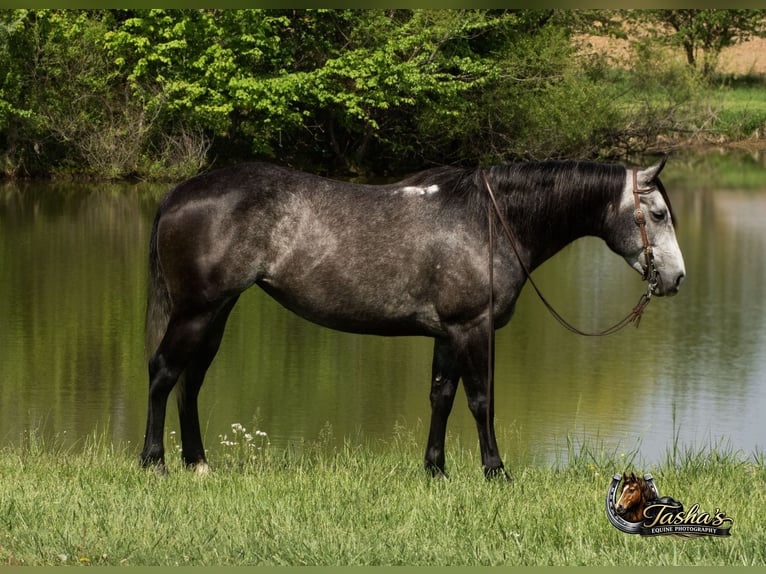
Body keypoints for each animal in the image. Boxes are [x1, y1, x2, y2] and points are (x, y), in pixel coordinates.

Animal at [139, 159, 685, 479]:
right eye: (658, 214)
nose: (676, 278)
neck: (487, 220)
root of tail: (178, 192)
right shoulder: (473, 328)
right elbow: (481, 401)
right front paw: (496, 471)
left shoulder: (448, 333)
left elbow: (441, 397)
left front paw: (435, 470)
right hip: (197, 312)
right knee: (163, 374)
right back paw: (154, 462)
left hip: (216, 314)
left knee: (190, 382)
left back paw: (197, 463)